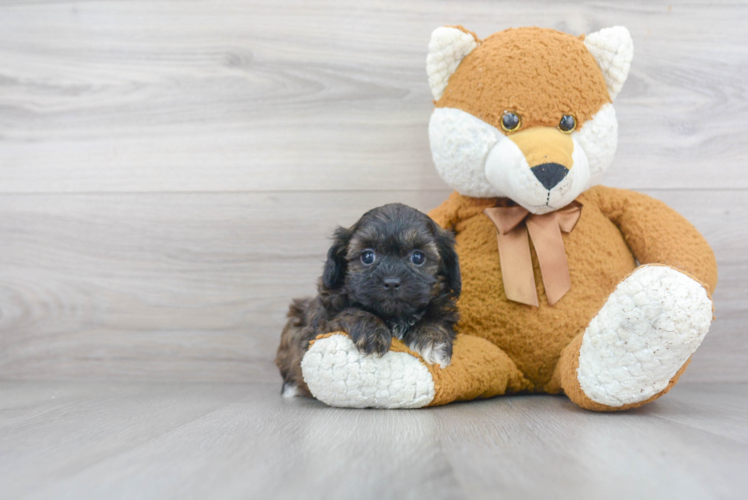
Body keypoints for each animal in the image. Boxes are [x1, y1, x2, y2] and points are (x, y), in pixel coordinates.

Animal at [276, 203, 462, 398]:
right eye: (367, 257)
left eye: (418, 257)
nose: (391, 282)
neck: (394, 316)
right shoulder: (316, 329)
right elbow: (349, 312)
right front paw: (373, 332)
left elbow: (437, 319)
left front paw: (434, 342)